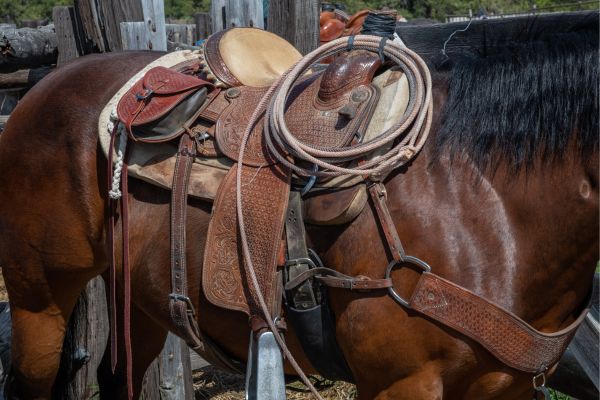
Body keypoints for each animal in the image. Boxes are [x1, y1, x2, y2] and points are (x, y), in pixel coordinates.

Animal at [0, 10, 596, 398]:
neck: (482, 194)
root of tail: (47, 81)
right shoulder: (403, 383)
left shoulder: (508, 387)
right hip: (38, 300)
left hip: (138, 297)